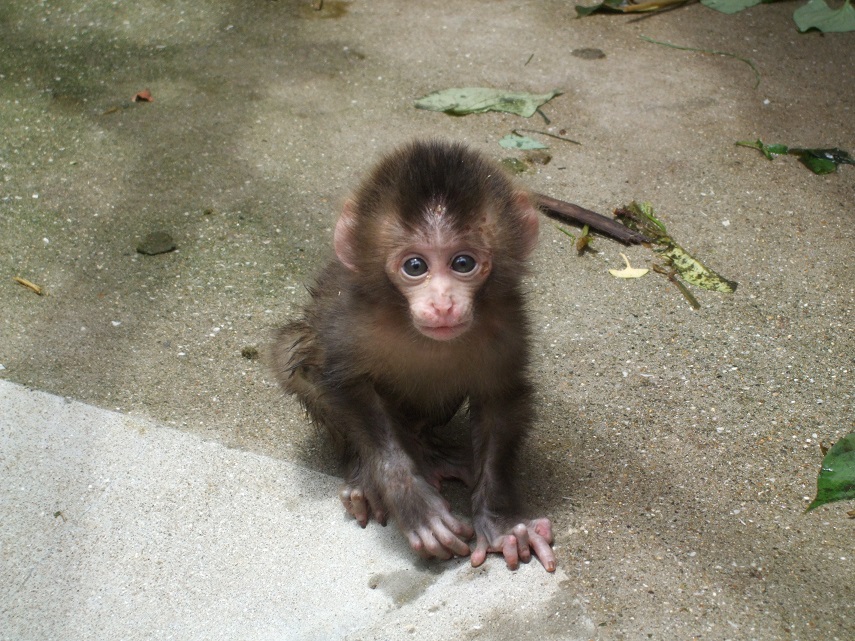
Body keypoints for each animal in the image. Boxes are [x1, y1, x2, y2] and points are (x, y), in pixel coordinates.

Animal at [272, 140, 556, 568]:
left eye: (463, 263)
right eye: (415, 266)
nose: (442, 304)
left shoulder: (508, 322)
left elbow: (499, 399)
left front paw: (504, 523)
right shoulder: (348, 318)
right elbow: (341, 381)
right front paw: (412, 502)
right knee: (293, 356)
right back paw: (369, 477)